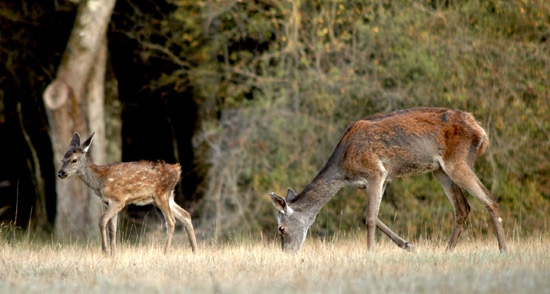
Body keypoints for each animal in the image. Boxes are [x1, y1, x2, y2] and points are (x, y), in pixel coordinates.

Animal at [57, 133, 198, 255]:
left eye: (74, 160)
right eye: (62, 159)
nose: (60, 173)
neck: (99, 182)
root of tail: (177, 170)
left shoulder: (119, 200)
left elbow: (102, 221)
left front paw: (105, 251)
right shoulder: (108, 202)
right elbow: (112, 229)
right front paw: (113, 254)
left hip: (161, 195)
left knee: (171, 221)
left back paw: (166, 252)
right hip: (168, 196)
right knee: (185, 215)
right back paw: (194, 250)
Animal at [272, 108, 508, 253]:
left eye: (281, 228)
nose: (288, 253)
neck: (345, 170)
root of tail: (482, 132)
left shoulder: (375, 173)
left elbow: (369, 218)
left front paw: (370, 253)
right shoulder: (383, 179)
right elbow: (376, 217)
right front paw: (409, 246)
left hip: (457, 161)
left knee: (490, 199)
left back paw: (503, 249)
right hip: (440, 170)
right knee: (463, 207)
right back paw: (447, 251)